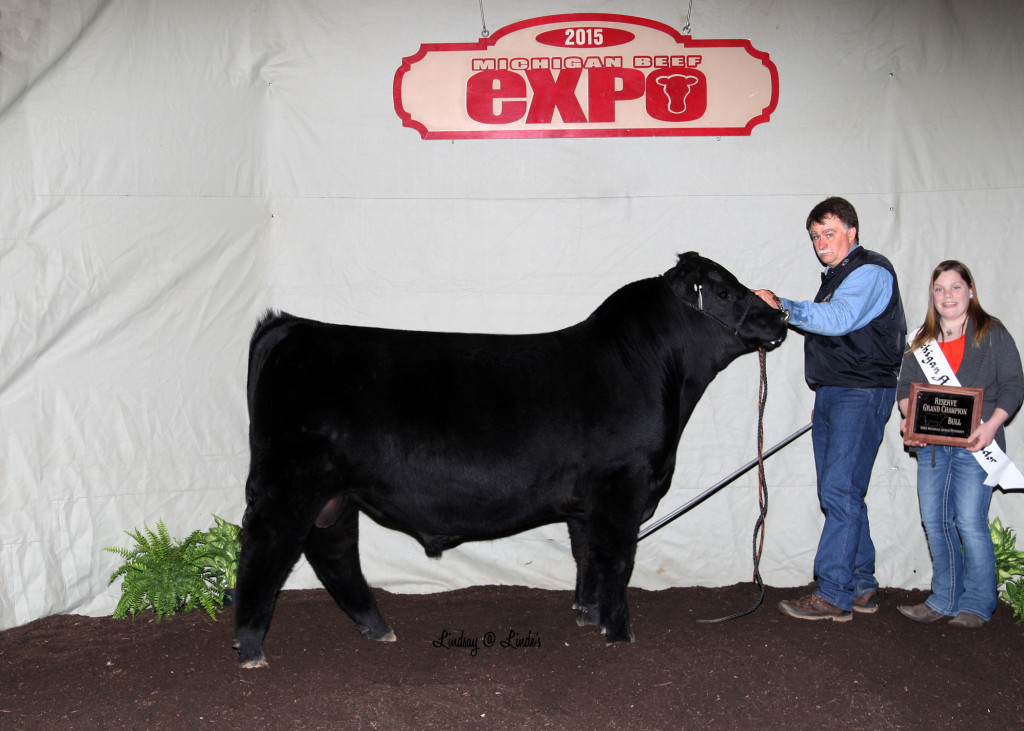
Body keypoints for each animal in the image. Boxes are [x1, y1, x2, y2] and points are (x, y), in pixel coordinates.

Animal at [234, 252, 788, 668]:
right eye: (724, 292)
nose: (779, 315)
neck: (648, 369)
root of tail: (295, 328)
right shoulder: (621, 490)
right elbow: (617, 560)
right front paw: (619, 632)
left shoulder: (587, 504)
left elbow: (587, 556)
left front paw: (588, 616)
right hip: (291, 485)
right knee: (265, 548)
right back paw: (251, 648)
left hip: (337, 495)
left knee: (334, 553)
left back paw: (379, 629)